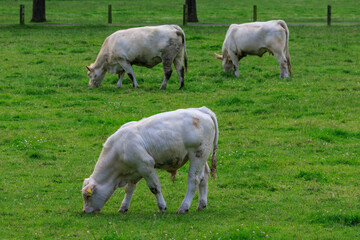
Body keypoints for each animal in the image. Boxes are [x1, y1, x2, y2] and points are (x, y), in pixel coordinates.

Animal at [82, 107, 218, 214]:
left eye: (87, 196)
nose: (85, 211)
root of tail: (201, 110)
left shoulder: (146, 165)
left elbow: (154, 187)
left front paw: (162, 207)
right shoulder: (136, 169)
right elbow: (129, 188)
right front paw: (124, 207)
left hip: (197, 155)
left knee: (194, 180)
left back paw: (183, 207)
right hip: (201, 157)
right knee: (204, 177)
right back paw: (201, 204)